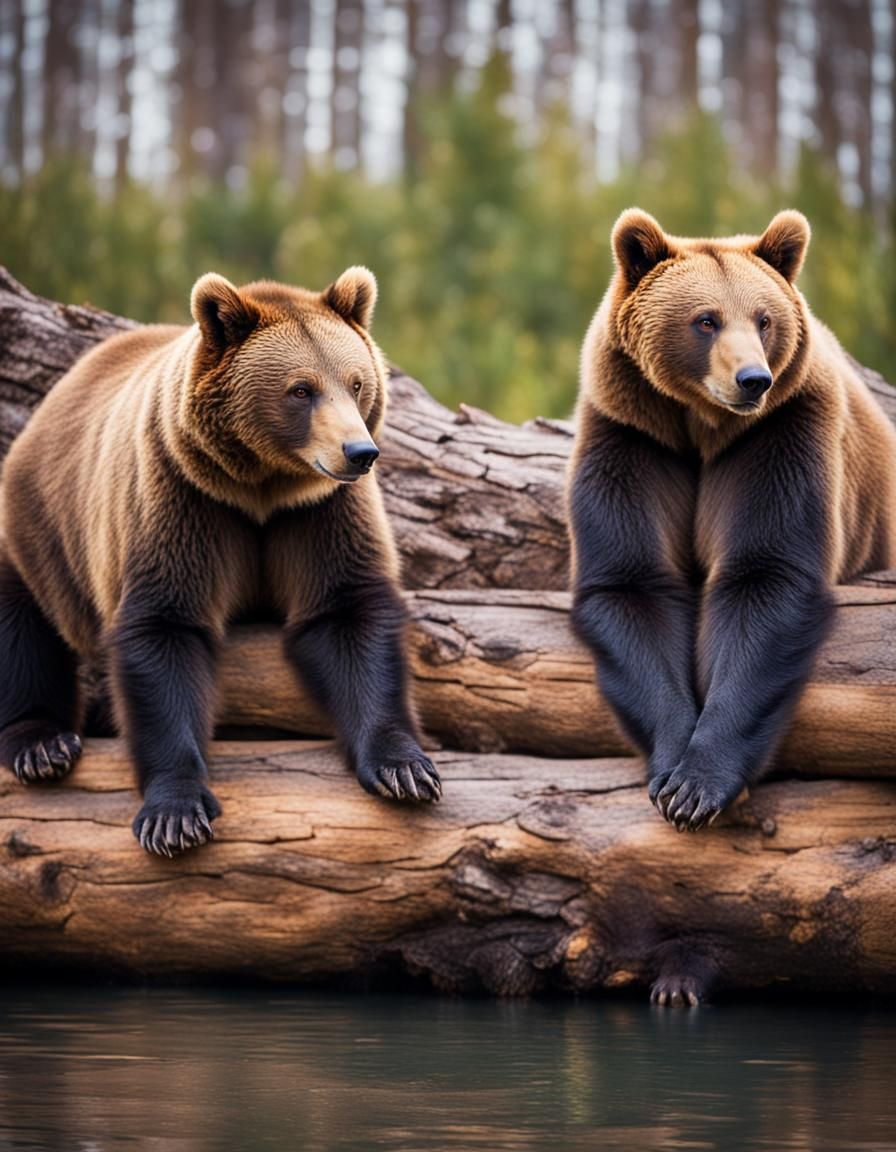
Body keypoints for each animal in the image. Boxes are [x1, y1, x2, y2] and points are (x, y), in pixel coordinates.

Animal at [0, 267, 440, 856]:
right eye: (301, 389)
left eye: (355, 382)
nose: (359, 453)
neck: (262, 486)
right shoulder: (180, 496)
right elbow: (165, 628)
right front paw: (175, 813)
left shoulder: (319, 512)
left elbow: (347, 612)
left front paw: (405, 768)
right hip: (41, 528)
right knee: (22, 627)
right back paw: (41, 745)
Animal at [567, 210, 896, 996]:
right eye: (705, 320)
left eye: (765, 318)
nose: (752, 378)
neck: (700, 428)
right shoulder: (632, 437)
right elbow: (630, 582)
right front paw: (671, 771)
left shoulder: (782, 433)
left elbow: (763, 576)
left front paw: (700, 784)